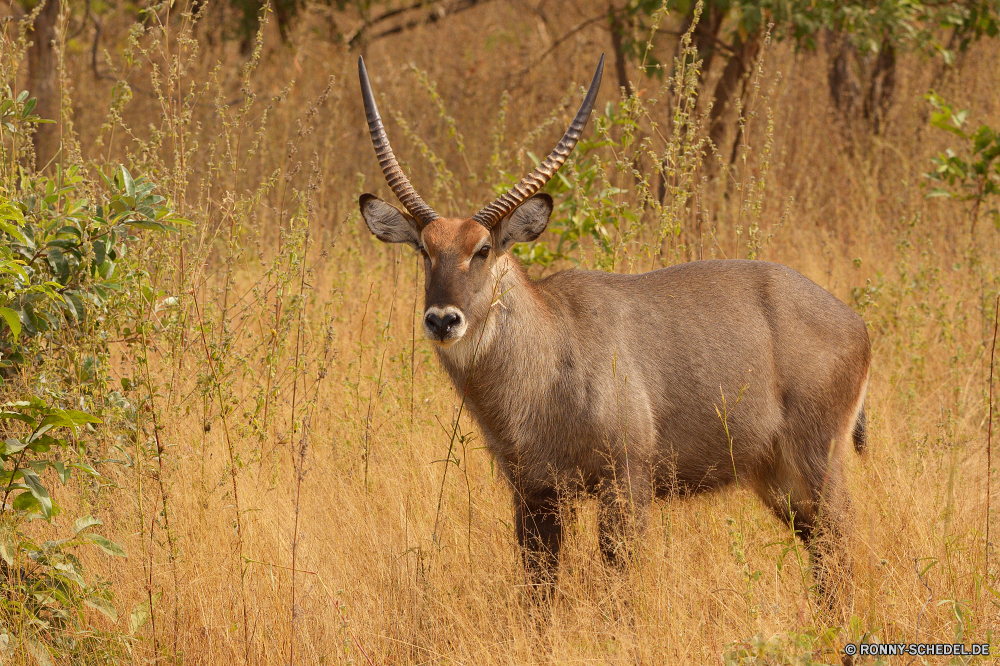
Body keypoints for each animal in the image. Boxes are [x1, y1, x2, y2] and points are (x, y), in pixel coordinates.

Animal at [358, 54, 868, 592]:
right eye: (424, 249)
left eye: (483, 248)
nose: (442, 320)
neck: (546, 356)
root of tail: (854, 321)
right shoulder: (534, 492)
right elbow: (539, 586)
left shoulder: (626, 481)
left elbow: (617, 582)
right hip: (775, 477)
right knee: (823, 552)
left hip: (816, 460)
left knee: (840, 544)